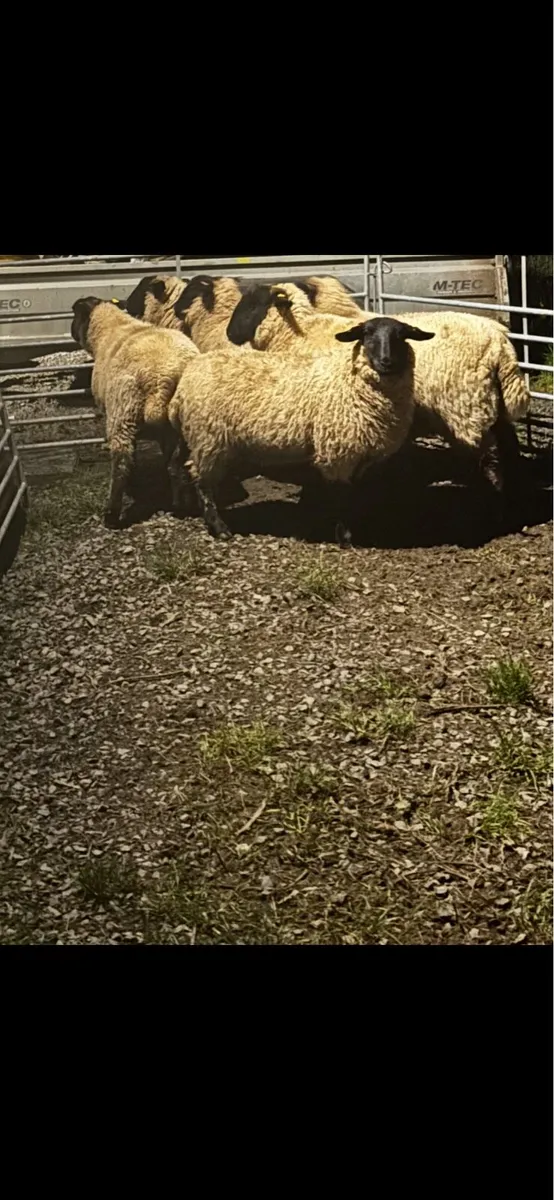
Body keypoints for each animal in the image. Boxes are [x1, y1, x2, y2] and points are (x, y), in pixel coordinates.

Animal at [71, 297, 199, 528]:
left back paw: (112, 515)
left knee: (122, 464)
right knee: (179, 464)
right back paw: (185, 504)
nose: (70, 330)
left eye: (75, 313)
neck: (112, 328)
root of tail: (161, 380)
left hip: (123, 415)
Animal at [168, 316, 435, 548]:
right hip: (208, 440)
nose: (386, 361)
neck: (350, 381)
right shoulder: (338, 451)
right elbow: (342, 496)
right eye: (366, 334)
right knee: (203, 482)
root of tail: (183, 384)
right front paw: (345, 537)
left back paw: (183, 508)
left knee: (177, 467)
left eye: (401, 335)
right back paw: (219, 527)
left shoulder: (358, 456)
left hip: (191, 436)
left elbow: (352, 493)